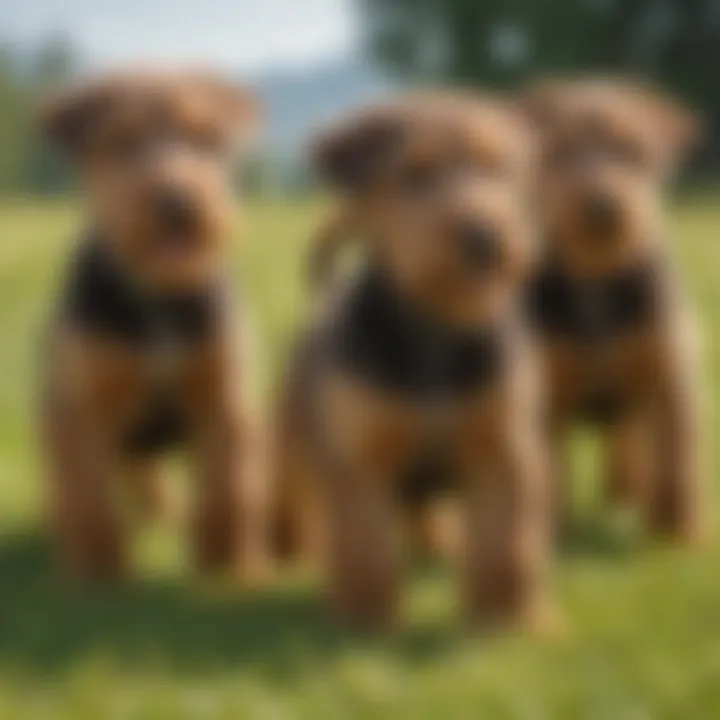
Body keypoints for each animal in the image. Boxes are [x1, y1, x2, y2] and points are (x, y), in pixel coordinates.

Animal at [39, 70, 270, 584]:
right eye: (123, 141)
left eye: (206, 138)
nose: (177, 202)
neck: (158, 295)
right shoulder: (86, 408)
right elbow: (92, 500)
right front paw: (95, 575)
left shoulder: (223, 399)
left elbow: (227, 493)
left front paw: (230, 570)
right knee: (83, 487)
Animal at [276, 91, 552, 632]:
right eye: (415, 172)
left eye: (499, 167)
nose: (485, 238)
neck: (436, 329)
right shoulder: (363, 460)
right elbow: (367, 552)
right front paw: (362, 623)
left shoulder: (502, 452)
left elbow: (503, 549)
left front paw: (508, 623)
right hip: (295, 447)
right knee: (301, 506)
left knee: (426, 515)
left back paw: (443, 544)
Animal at [524, 79, 704, 540]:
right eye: (562, 149)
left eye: (632, 149)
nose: (601, 206)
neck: (597, 275)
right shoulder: (545, 395)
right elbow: (549, 471)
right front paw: (551, 531)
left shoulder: (668, 376)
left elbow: (676, 461)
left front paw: (678, 533)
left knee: (632, 446)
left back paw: (627, 495)